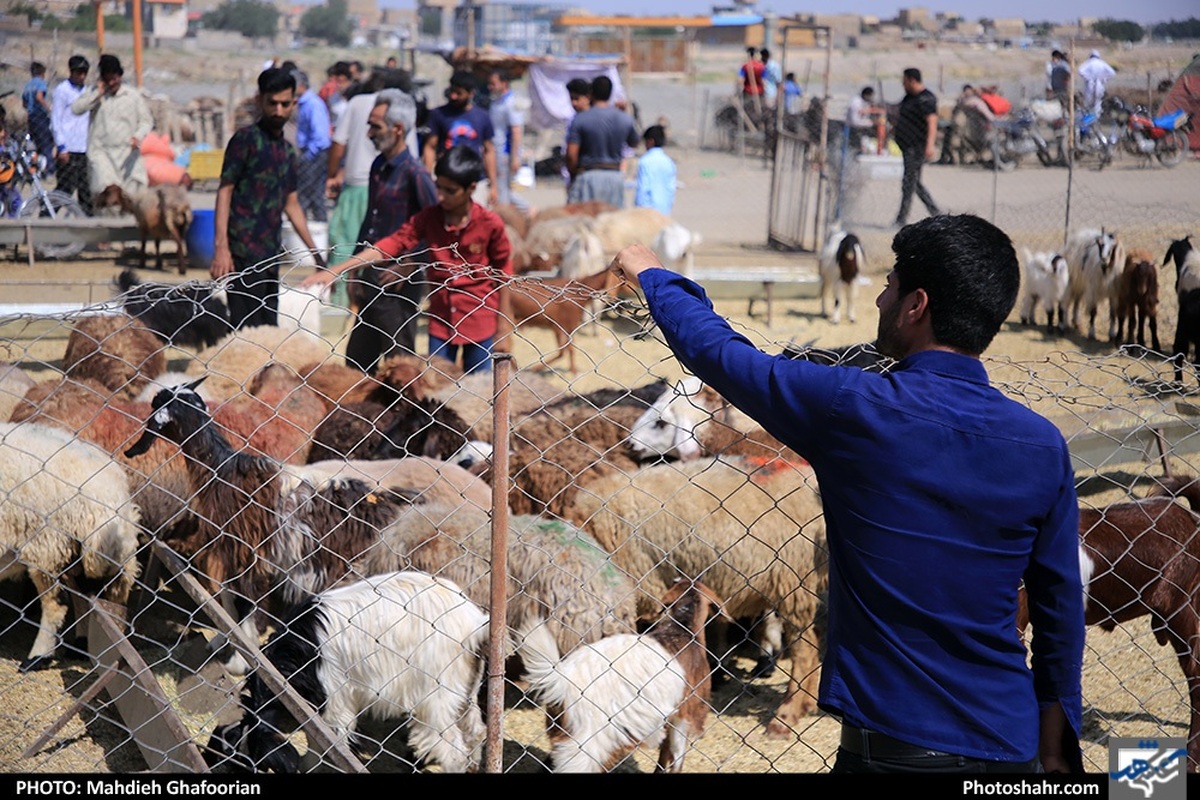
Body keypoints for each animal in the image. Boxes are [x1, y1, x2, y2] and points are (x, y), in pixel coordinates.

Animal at [0, 422, 142, 671]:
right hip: (78, 555)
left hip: (47, 546)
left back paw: (37, 657)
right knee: (86, 600)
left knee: (57, 605)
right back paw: (80, 646)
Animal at [513, 578, 720, 772]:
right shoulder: (686, 711)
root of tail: (563, 681)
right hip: (587, 741)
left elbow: (665, 754)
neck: (683, 629)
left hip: (565, 729)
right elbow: (676, 756)